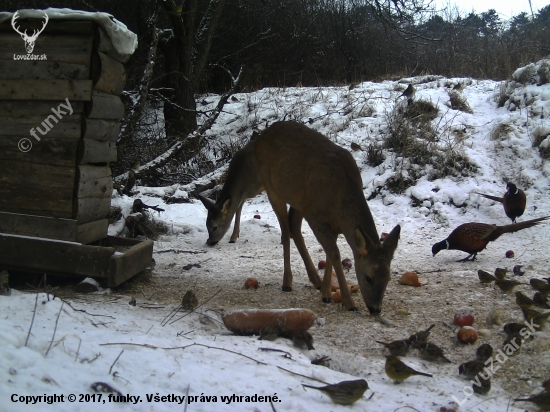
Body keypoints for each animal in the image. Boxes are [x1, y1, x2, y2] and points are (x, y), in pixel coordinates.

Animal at [254, 120, 402, 314]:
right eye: (368, 278)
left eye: (389, 278)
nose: (375, 309)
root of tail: (262, 135)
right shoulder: (315, 216)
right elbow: (334, 253)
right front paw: (349, 302)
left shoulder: (332, 222)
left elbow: (329, 252)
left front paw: (326, 294)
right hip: (271, 186)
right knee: (285, 232)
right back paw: (287, 282)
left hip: (299, 201)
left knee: (293, 227)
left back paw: (314, 281)